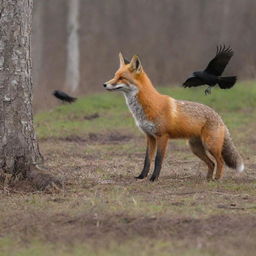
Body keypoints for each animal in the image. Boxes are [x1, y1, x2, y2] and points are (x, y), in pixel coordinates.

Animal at [103, 53, 243, 181]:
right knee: (212, 163)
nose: (104, 84)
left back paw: (216, 179)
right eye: (115, 75)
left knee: (220, 161)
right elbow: (147, 160)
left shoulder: (162, 136)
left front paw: (154, 178)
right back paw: (208, 179)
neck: (147, 106)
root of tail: (218, 116)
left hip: (210, 145)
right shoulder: (150, 137)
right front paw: (141, 176)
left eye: (122, 78)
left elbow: (158, 160)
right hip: (195, 148)